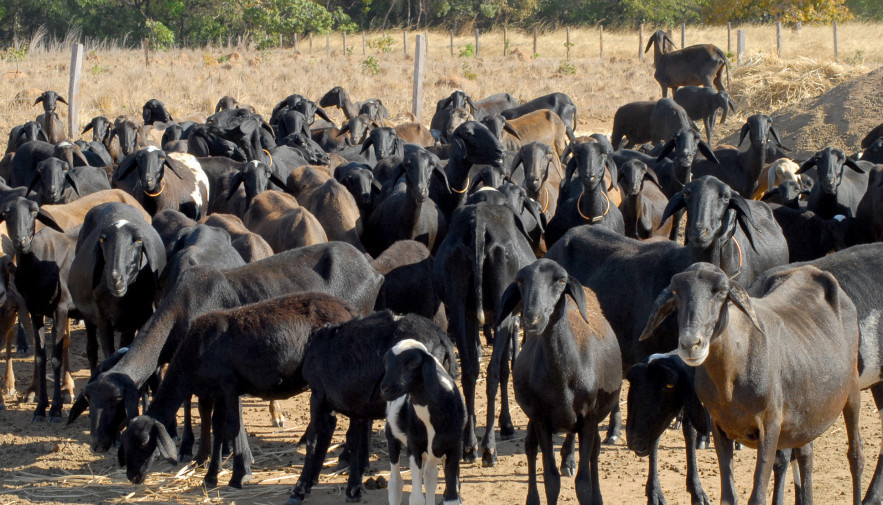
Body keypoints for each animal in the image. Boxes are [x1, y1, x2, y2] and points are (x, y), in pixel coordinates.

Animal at [380, 338, 466, 504]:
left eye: (412, 364)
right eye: (386, 363)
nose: (384, 389)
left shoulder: (454, 447)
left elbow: (452, 497)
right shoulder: (414, 448)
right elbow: (416, 498)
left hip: (432, 451)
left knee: (430, 476)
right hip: (392, 435)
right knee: (395, 483)